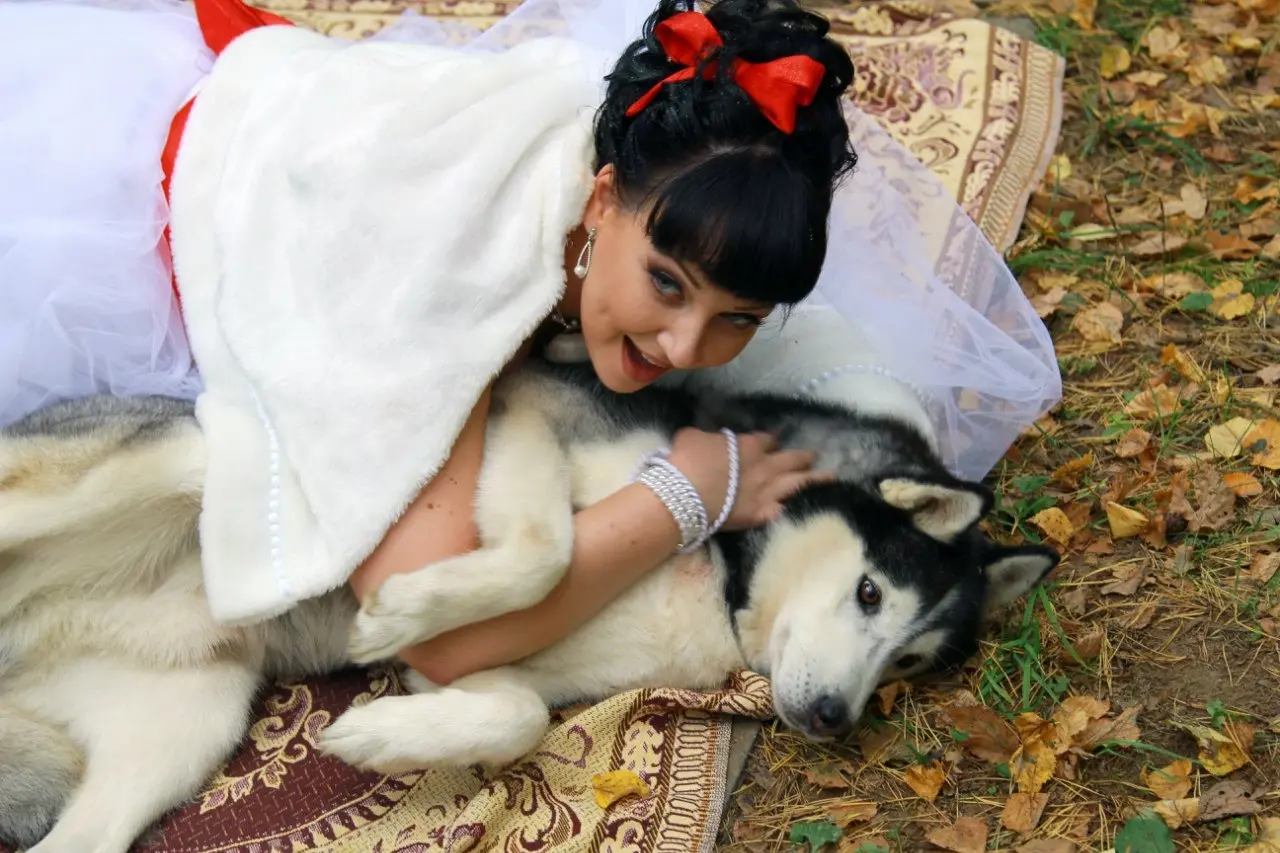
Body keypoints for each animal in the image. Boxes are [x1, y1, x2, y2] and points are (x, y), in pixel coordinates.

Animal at [0, 358, 1057, 853]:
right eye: (870, 590)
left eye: (909, 662)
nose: (835, 717)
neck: (723, 577)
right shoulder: (525, 420)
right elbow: (545, 554)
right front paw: (404, 606)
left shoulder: (475, 672)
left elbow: (510, 715)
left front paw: (382, 737)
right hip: (180, 465)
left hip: (189, 725)